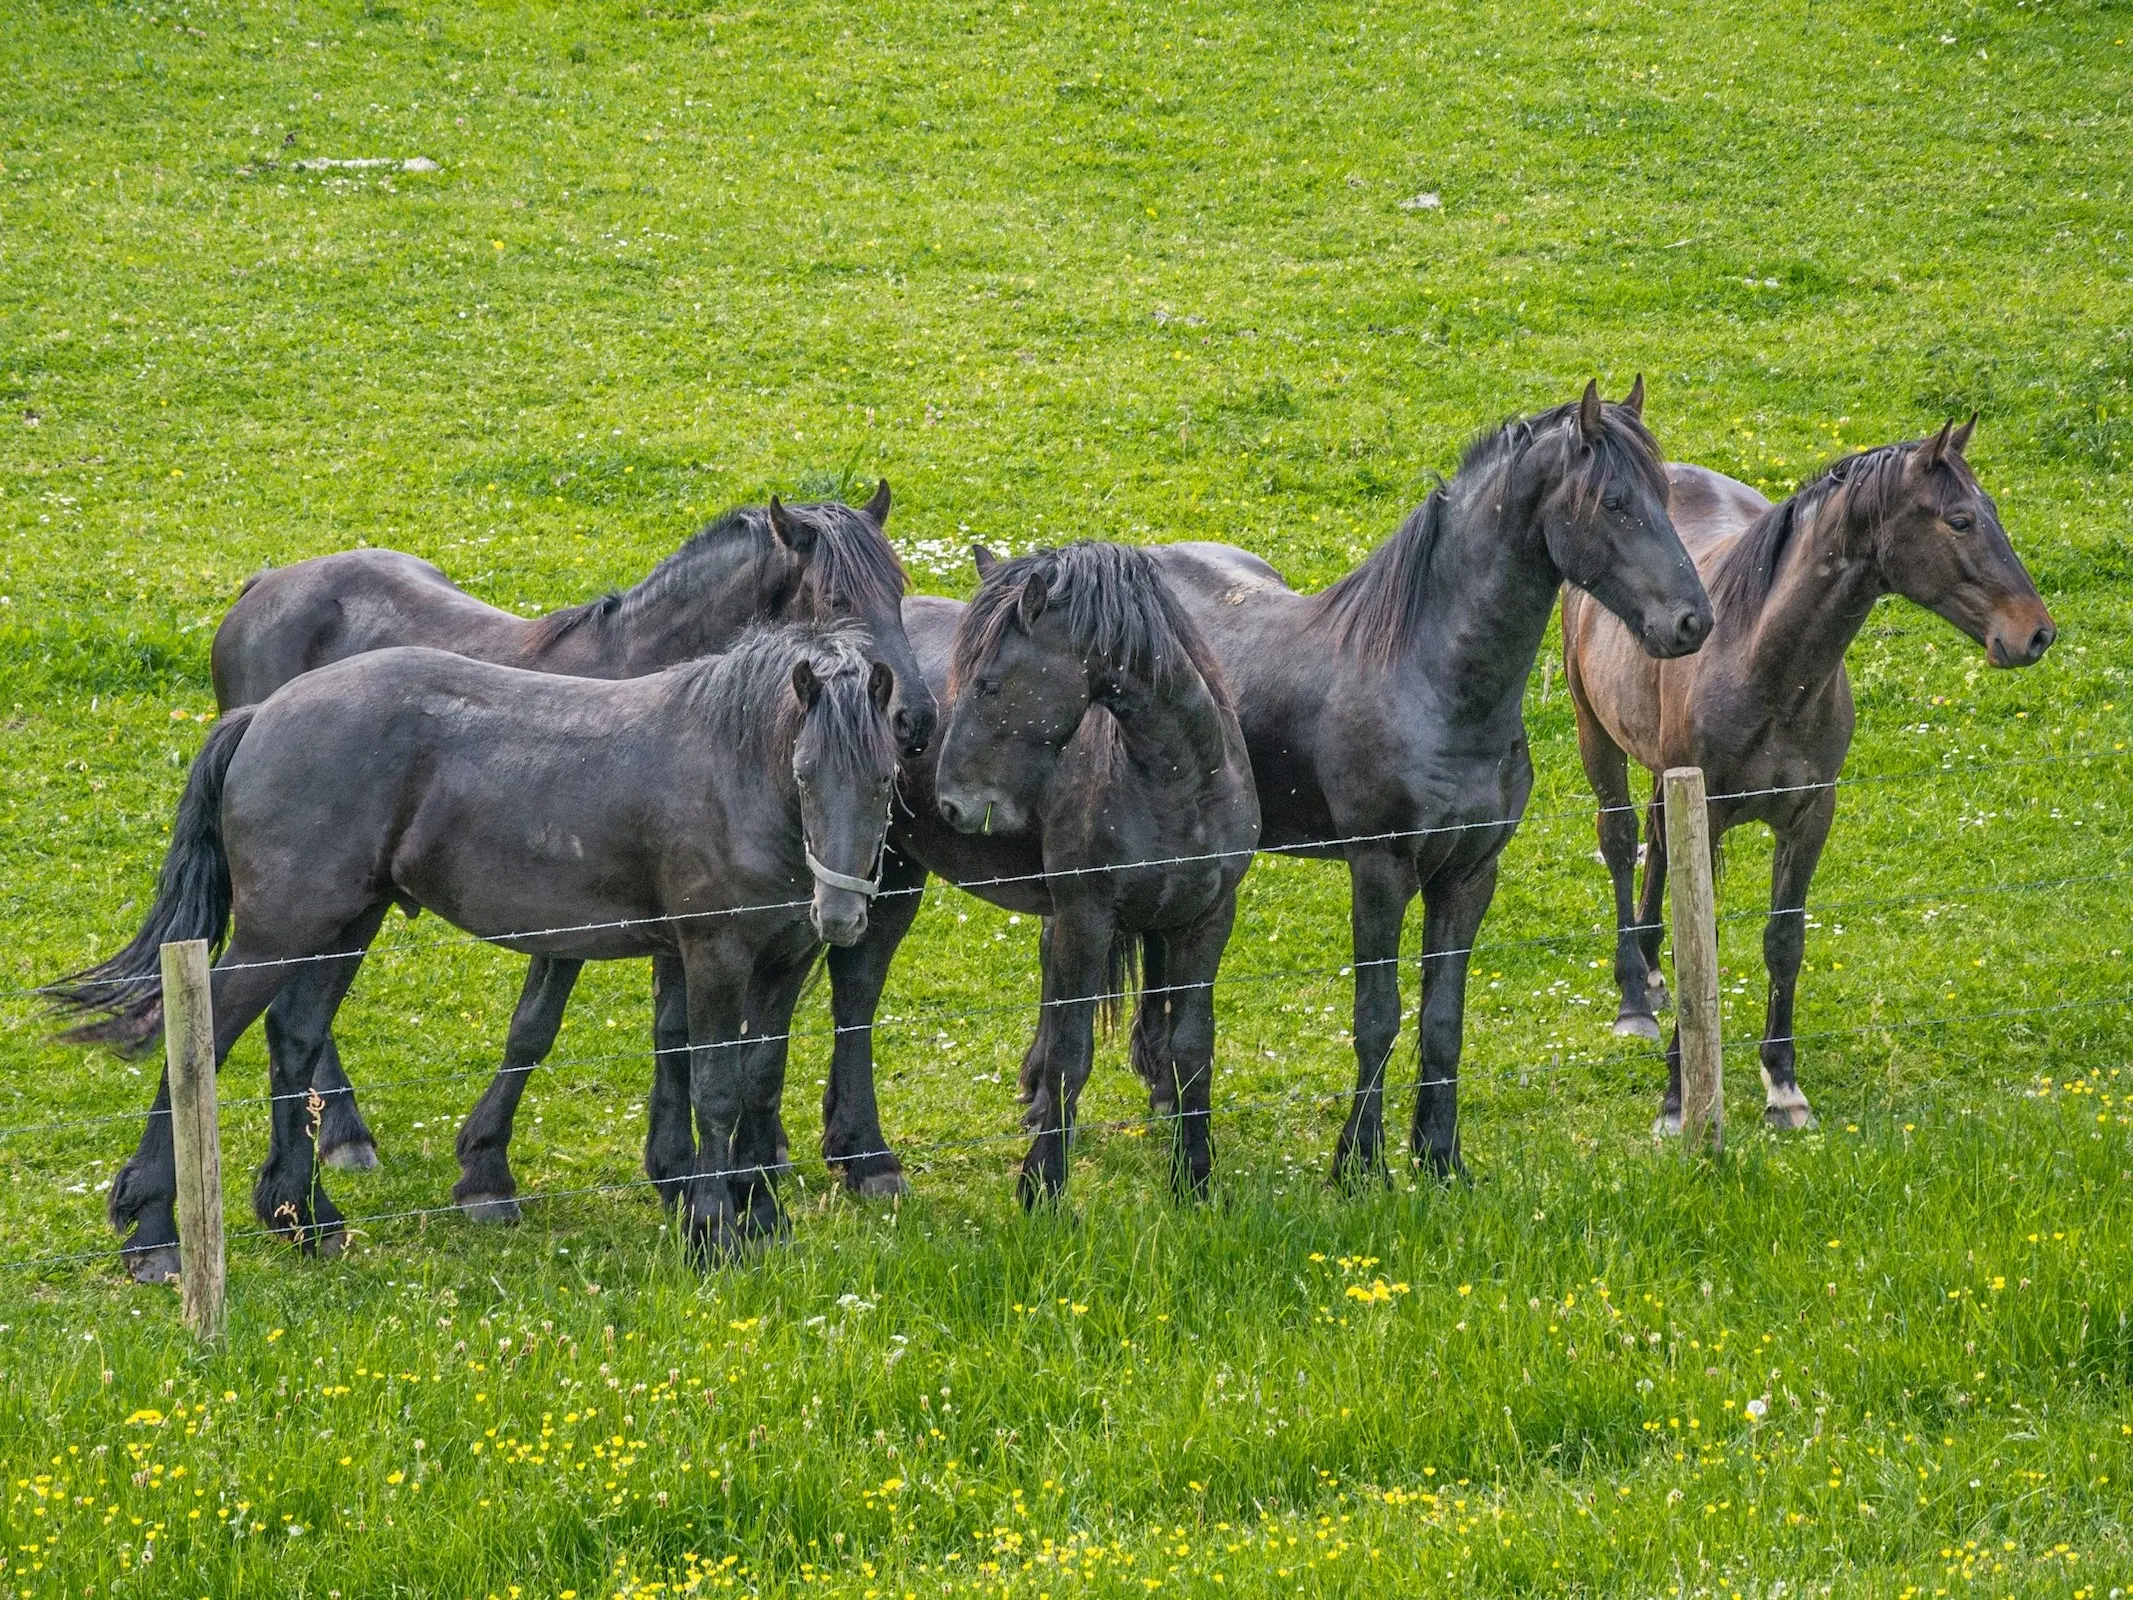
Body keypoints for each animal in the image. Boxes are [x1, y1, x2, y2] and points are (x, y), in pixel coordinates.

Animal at [47, 618, 900, 1288]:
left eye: (886, 777)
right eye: (804, 773)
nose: (843, 914)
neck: (730, 772)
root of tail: (265, 713)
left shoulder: (784, 961)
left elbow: (760, 1078)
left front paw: (764, 1217)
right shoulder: (714, 955)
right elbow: (715, 1089)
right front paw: (715, 1231)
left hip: (343, 924)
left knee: (294, 1039)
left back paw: (304, 1217)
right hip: (275, 934)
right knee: (205, 1047)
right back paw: (155, 1233)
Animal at [203, 488, 929, 1177]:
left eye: (900, 592)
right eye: (836, 598)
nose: (914, 719)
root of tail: (264, 584)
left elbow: (673, 1031)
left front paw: (674, 1165)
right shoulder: (577, 919)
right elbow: (535, 1029)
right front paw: (489, 1159)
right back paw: (343, 1134)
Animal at [1569, 420, 2047, 1134]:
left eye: (1991, 510)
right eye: (1960, 520)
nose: (2037, 633)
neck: (1764, 667)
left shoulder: (1810, 816)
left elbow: (1784, 941)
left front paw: (1783, 1088)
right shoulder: (1709, 813)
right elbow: (1700, 945)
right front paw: (1679, 1101)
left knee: (1656, 844)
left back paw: (1650, 975)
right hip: (1595, 734)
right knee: (1624, 842)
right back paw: (1633, 998)